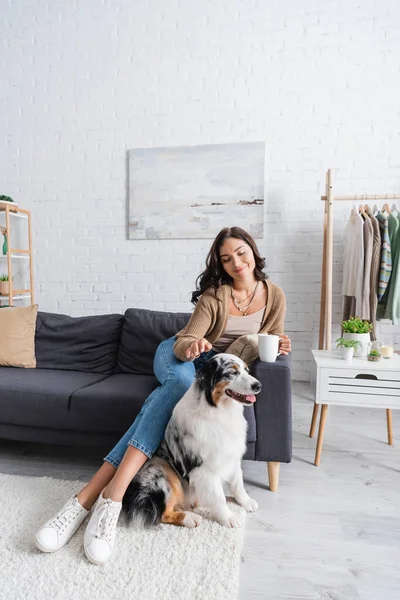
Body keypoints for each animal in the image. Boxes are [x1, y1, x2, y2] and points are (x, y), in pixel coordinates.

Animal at [122, 354, 262, 528]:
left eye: (247, 370)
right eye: (232, 373)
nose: (258, 385)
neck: (218, 411)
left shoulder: (232, 456)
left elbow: (238, 484)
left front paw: (246, 502)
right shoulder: (205, 469)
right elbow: (218, 497)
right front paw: (228, 518)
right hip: (161, 468)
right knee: (163, 514)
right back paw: (191, 518)